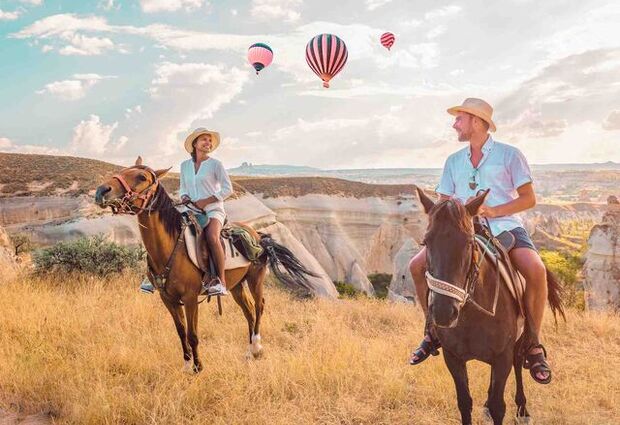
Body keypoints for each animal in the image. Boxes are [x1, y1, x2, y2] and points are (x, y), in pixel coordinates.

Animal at [94, 157, 318, 372]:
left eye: (141, 177)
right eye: (122, 170)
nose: (101, 191)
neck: (169, 247)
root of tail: (257, 234)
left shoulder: (190, 298)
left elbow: (193, 334)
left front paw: (198, 367)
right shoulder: (168, 299)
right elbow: (181, 332)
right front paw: (186, 366)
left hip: (255, 279)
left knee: (259, 306)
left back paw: (256, 347)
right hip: (236, 286)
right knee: (248, 310)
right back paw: (248, 352)